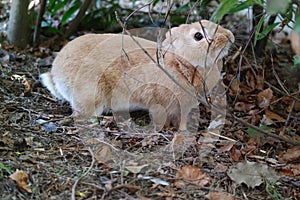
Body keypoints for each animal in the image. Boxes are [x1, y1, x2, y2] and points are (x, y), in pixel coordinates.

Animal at [39, 19, 236, 130]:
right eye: (198, 36)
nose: (230, 36)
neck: (179, 62)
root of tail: (56, 72)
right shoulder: (159, 102)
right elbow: (160, 117)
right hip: (91, 92)